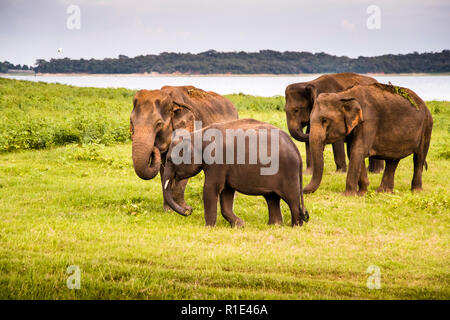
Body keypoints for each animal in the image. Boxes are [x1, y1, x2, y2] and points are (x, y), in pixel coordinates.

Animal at [161, 119, 310, 226]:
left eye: (169, 160)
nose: (189, 210)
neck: (197, 135)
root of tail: (296, 150)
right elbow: (226, 191)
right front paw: (240, 225)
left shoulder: (217, 160)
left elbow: (211, 188)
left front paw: (209, 227)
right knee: (272, 197)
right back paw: (274, 225)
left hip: (288, 172)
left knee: (291, 199)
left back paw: (295, 226)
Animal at [302, 82, 432, 196]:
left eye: (324, 120)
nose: (303, 190)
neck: (344, 95)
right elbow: (352, 152)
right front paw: (362, 192)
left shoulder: (369, 120)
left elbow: (358, 151)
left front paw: (347, 195)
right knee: (393, 160)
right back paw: (384, 192)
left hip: (427, 126)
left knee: (419, 158)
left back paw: (416, 191)